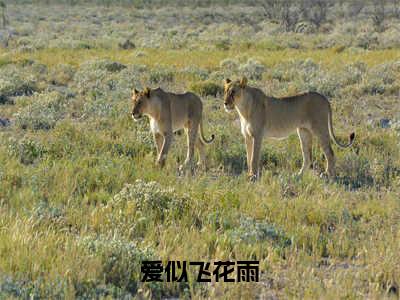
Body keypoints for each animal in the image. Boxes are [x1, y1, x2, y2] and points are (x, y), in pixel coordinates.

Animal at [223, 77, 354, 180]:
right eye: (225, 91)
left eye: (233, 92)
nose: (225, 103)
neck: (243, 109)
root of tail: (324, 97)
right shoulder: (247, 136)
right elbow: (248, 157)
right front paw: (249, 175)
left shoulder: (257, 135)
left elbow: (254, 158)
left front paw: (253, 177)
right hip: (303, 132)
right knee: (307, 157)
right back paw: (298, 175)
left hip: (320, 129)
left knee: (330, 153)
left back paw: (329, 175)